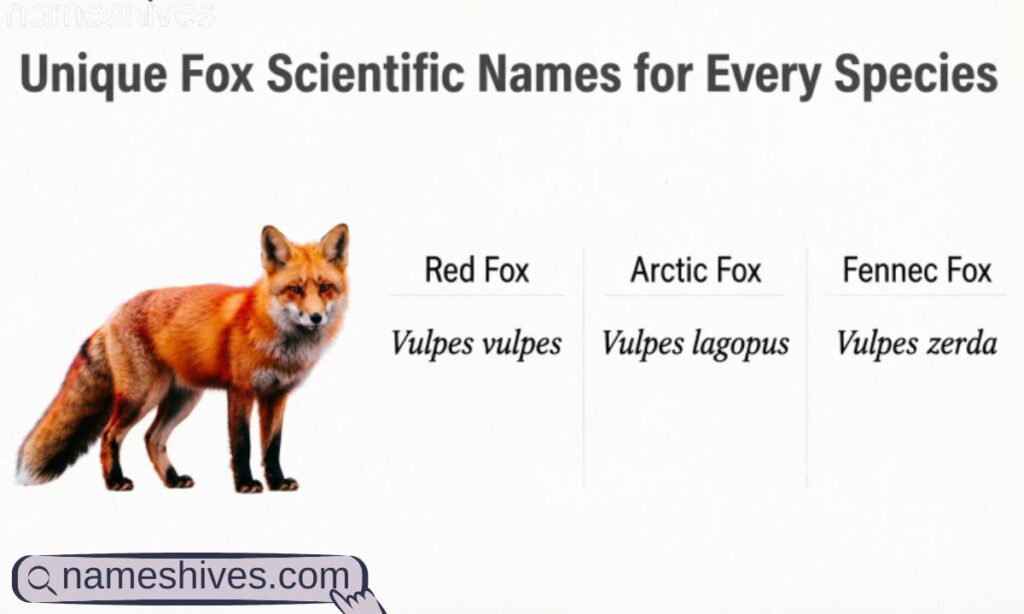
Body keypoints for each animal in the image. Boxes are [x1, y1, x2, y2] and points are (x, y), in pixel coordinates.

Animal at [16, 224, 349, 493]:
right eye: (294, 289)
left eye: (325, 287)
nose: (316, 317)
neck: (280, 344)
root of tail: (113, 314)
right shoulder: (241, 391)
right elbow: (242, 444)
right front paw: (245, 484)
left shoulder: (276, 395)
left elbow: (272, 447)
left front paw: (277, 483)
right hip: (142, 396)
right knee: (110, 435)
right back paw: (115, 481)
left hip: (182, 399)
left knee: (152, 438)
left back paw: (172, 479)